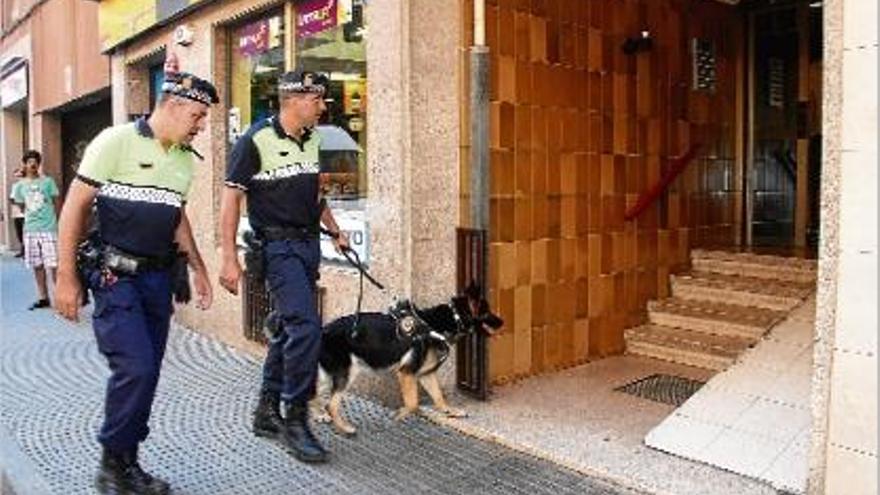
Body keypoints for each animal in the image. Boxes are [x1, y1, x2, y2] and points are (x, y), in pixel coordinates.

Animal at [266, 284, 502, 436]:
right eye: (487, 311)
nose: (503, 322)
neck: (440, 323)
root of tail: (323, 331)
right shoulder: (406, 373)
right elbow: (413, 403)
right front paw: (400, 414)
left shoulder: (425, 375)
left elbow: (438, 398)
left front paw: (450, 411)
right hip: (347, 373)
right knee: (331, 404)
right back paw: (343, 427)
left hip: (329, 373)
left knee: (314, 394)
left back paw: (320, 415)